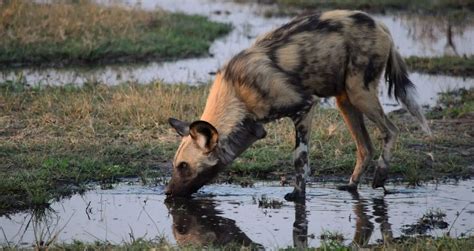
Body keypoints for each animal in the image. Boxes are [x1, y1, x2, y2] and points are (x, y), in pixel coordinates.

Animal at [165, 10, 432, 200]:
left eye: (184, 166)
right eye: (176, 166)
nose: (167, 194)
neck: (236, 93)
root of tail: (380, 24)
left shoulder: (304, 107)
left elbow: (299, 160)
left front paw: (297, 196)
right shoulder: (254, 128)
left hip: (360, 94)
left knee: (391, 130)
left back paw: (380, 176)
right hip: (345, 100)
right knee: (365, 147)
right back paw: (351, 186)